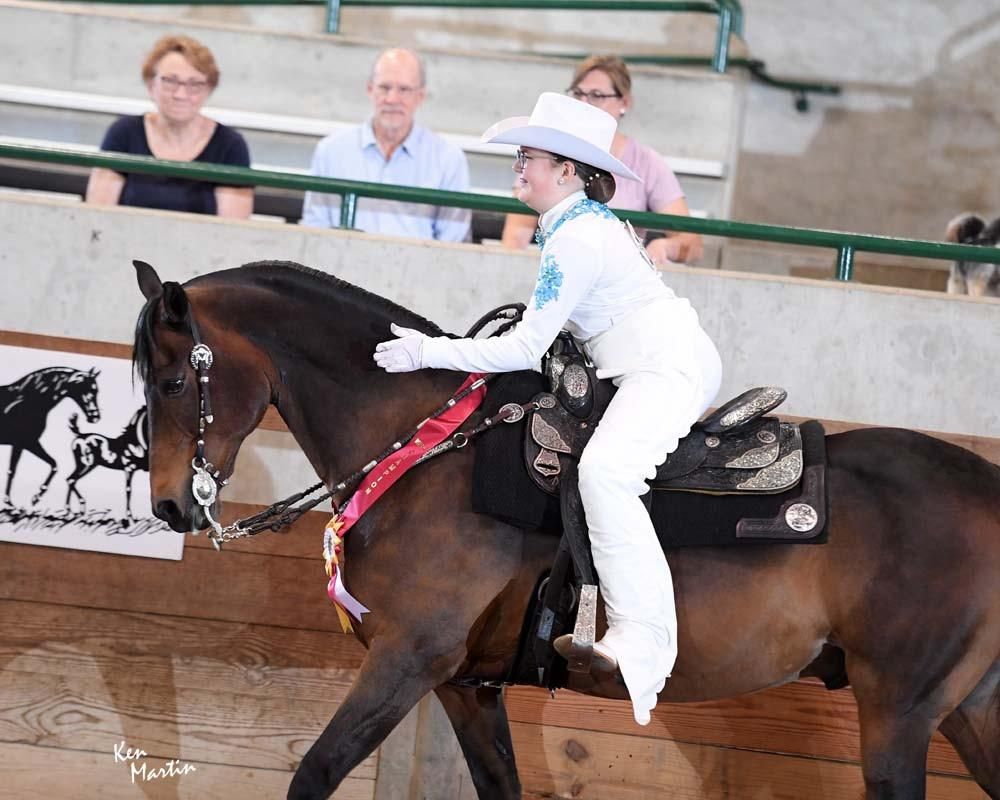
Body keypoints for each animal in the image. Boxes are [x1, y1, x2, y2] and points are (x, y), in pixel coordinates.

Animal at [0, 366, 101, 506]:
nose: (95, 417)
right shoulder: (24, 443)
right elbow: (12, 470)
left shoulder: (28, 443)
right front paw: (9, 502)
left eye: (96, 391)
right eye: (83, 389)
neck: (27, 401)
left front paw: (36, 497)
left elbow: (54, 464)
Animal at [132, 260, 1000, 800]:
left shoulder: (409, 657)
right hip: (968, 708)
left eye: (172, 381)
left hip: (900, 714)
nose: (171, 505)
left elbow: (312, 773)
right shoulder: (465, 685)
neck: (428, 450)